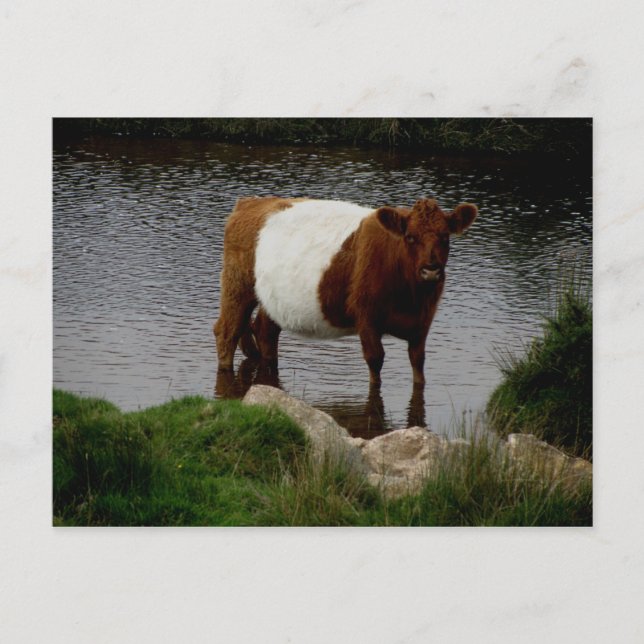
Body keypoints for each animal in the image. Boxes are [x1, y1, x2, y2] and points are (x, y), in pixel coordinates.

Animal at [214, 196, 477, 386]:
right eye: (410, 237)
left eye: (445, 237)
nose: (431, 270)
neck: (410, 299)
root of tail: (250, 202)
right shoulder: (367, 317)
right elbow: (375, 363)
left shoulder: (423, 321)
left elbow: (418, 364)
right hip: (238, 284)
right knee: (227, 331)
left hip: (272, 299)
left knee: (264, 331)